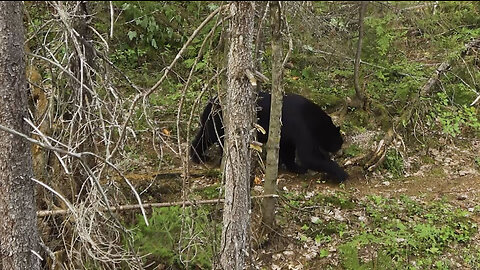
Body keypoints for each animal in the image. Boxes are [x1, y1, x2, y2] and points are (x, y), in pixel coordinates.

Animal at [190, 92, 348, 182]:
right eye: (339, 142)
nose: (341, 151)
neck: (313, 119)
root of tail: (211, 102)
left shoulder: (286, 133)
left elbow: (287, 149)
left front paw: (295, 167)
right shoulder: (300, 125)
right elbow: (308, 155)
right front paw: (341, 173)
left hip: (212, 121)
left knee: (204, 136)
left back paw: (199, 156)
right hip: (220, 121)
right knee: (211, 137)